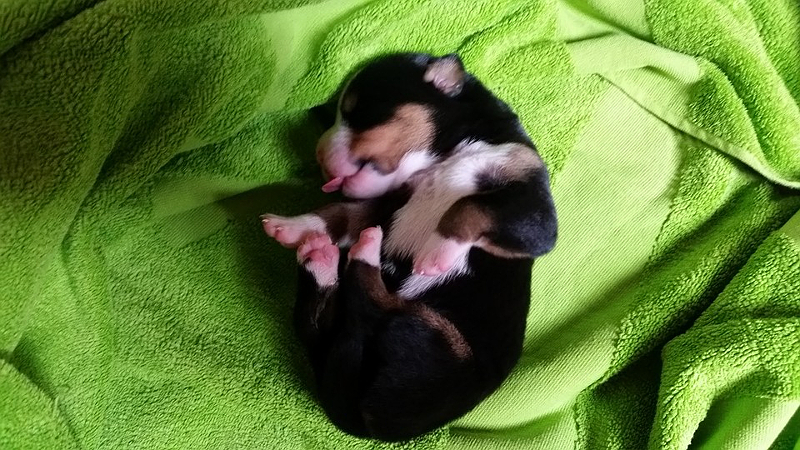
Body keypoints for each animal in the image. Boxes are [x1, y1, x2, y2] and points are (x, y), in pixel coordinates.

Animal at [261, 53, 557, 441]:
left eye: (357, 112)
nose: (318, 158)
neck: (439, 160)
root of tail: (364, 422)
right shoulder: (387, 202)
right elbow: (342, 211)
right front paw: (291, 225)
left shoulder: (533, 208)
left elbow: (467, 207)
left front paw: (440, 253)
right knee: (326, 320)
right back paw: (323, 258)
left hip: (434, 334)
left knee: (371, 303)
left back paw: (361, 251)